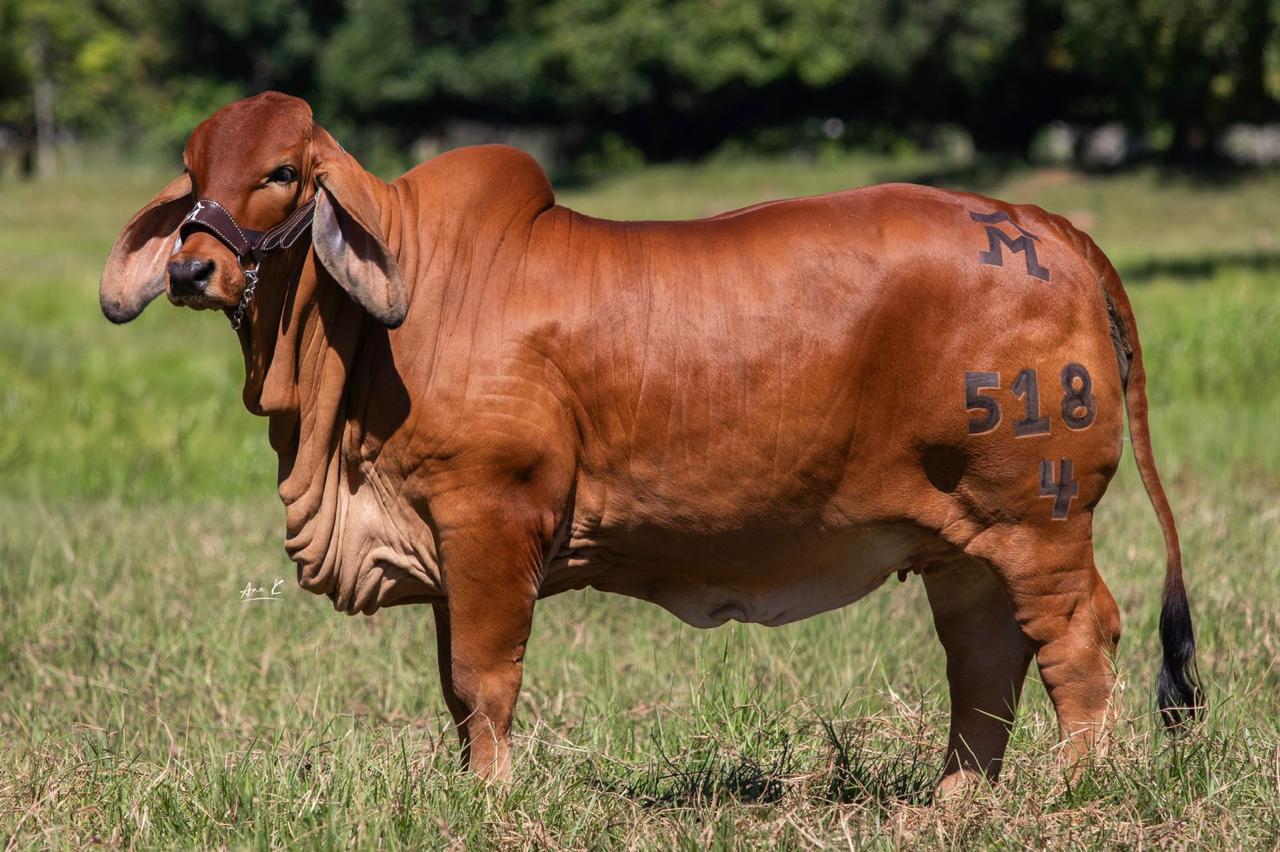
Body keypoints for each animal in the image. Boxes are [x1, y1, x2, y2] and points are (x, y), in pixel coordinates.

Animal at [100, 92, 1201, 793]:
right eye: (194, 173)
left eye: (283, 172)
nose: (191, 270)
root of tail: (1041, 223)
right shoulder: (444, 544)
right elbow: (453, 689)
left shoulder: (491, 515)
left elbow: (484, 679)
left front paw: (493, 798)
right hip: (961, 540)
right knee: (983, 658)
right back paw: (955, 802)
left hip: (1036, 515)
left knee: (1078, 636)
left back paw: (1069, 791)